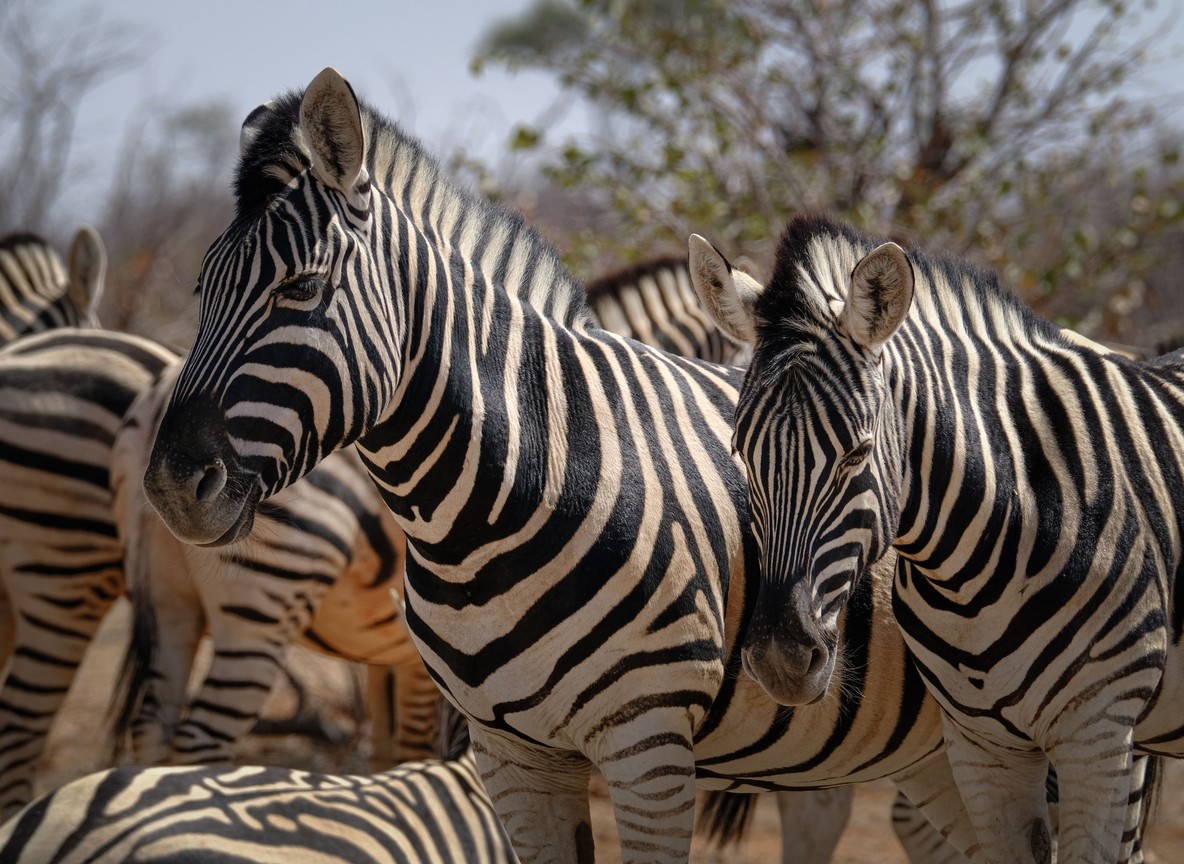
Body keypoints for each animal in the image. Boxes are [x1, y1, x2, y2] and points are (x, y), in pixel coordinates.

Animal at [140, 67, 1020, 864]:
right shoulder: (511, 757)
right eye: (200, 288)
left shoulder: (648, 751)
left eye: (303, 288)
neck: (487, 518)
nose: (172, 486)